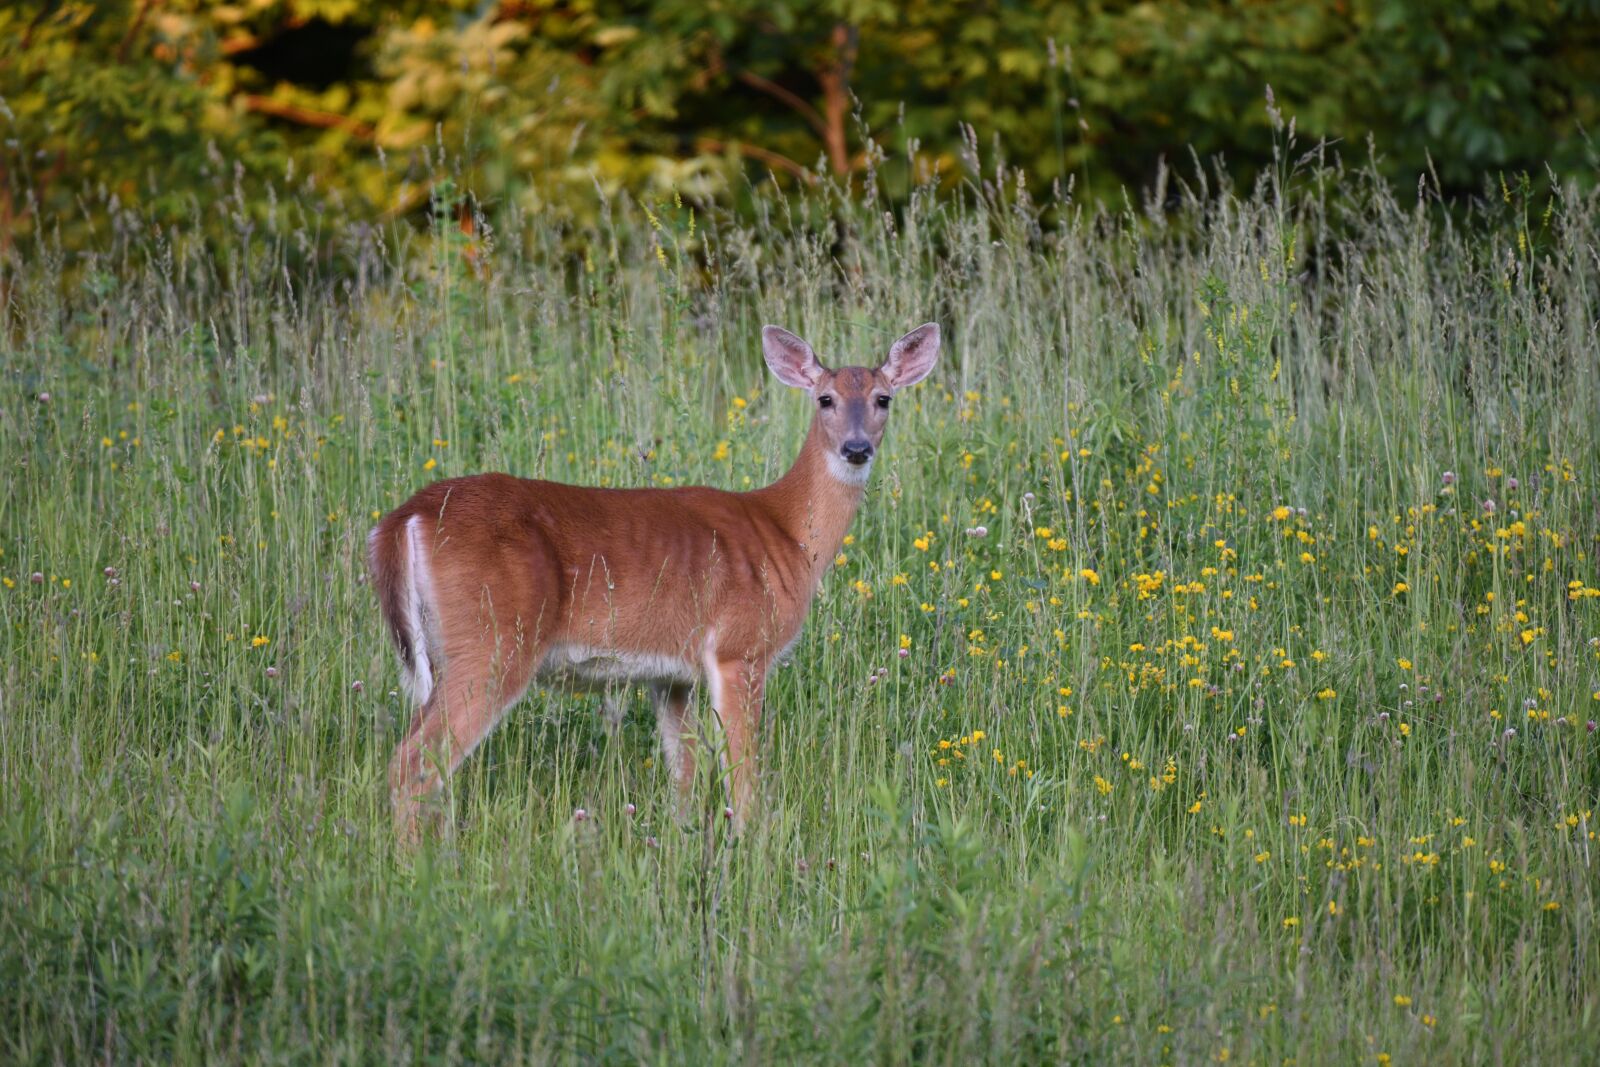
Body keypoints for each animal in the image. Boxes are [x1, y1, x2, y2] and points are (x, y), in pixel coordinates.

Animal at [368, 323, 941, 842]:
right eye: (825, 398)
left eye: (883, 398)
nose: (856, 448)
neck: (787, 536)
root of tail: (406, 516)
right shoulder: (739, 648)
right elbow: (742, 774)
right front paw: (750, 848)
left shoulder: (671, 677)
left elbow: (684, 774)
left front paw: (683, 841)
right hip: (493, 639)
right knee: (410, 763)